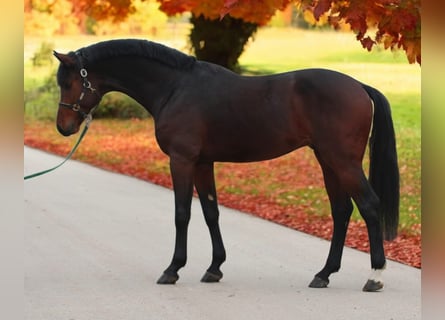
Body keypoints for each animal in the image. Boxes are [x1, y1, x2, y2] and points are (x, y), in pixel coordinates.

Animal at [53, 38, 398, 292]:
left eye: (68, 83)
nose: (63, 127)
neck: (175, 87)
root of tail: (360, 86)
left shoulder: (182, 160)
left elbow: (182, 214)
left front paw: (173, 269)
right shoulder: (203, 162)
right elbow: (210, 212)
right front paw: (214, 268)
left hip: (343, 161)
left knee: (370, 205)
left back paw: (375, 277)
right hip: (327, 160)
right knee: (342, 211)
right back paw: (324, 274)